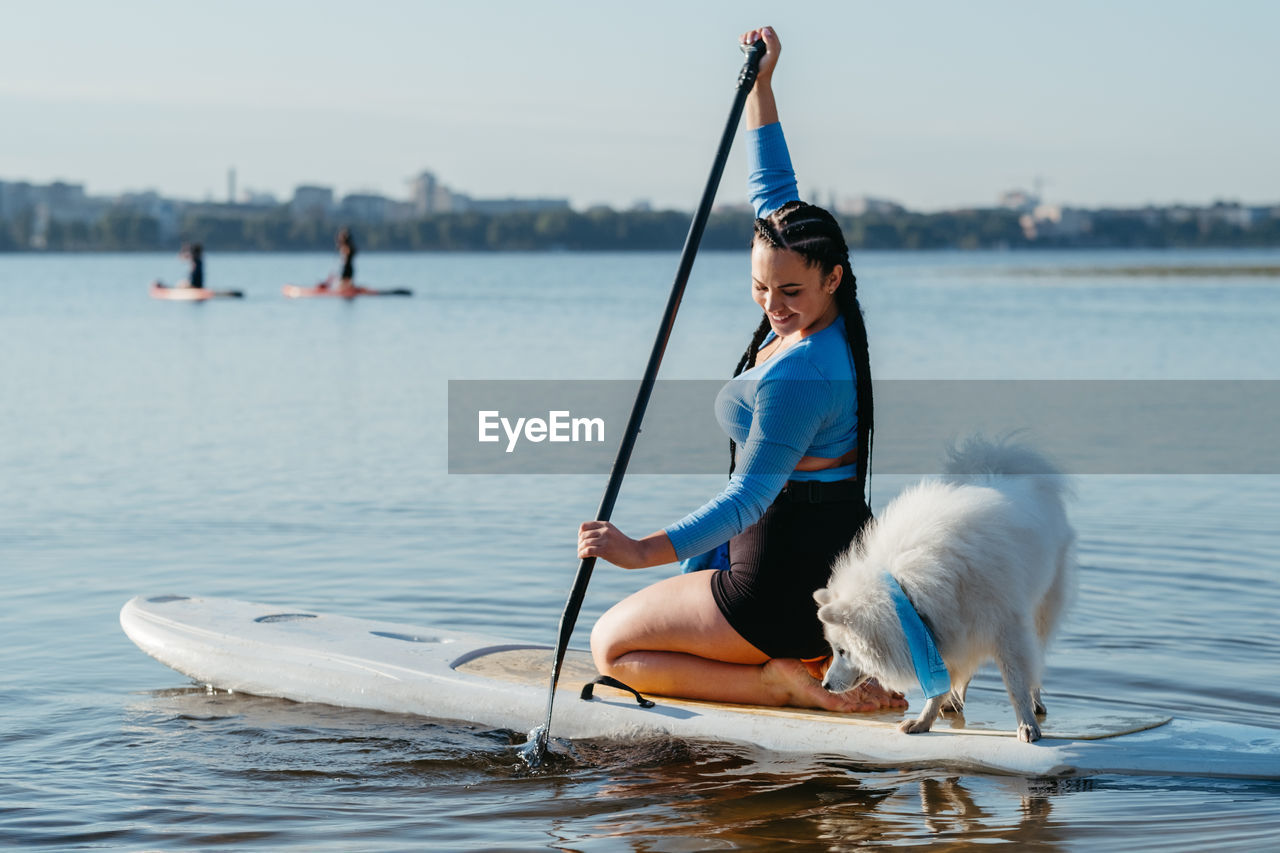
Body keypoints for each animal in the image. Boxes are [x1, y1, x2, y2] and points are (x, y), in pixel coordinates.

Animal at [814, 435, 1075, 742]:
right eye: (834, 650)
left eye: (842, 651)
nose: (825, 685)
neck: (912, 589)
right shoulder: (943, 631)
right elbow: (940, 684)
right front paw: (923, 721)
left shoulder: (1006, 630)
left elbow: (1016, 682)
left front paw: (1027, 724)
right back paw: (953, 701)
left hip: (1040, 612)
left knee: (1035, 662)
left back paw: (1035, 703)